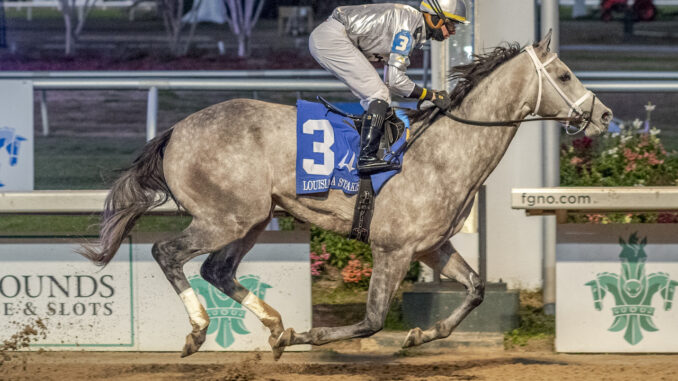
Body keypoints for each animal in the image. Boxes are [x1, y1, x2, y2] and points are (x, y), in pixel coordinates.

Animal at [79, 31, 616, 356]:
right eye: (564, 75)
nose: (604, 114)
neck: (443, 152)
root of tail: (175, 130)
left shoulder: (432, 247)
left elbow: (477, 288)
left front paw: (424, 333)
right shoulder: (392, 249)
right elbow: (373, 320)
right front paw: (313, 333)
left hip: (253, 217)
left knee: (217, 269)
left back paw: (275, 325)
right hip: (224, 217)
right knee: (167, 252)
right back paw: (199, 331)